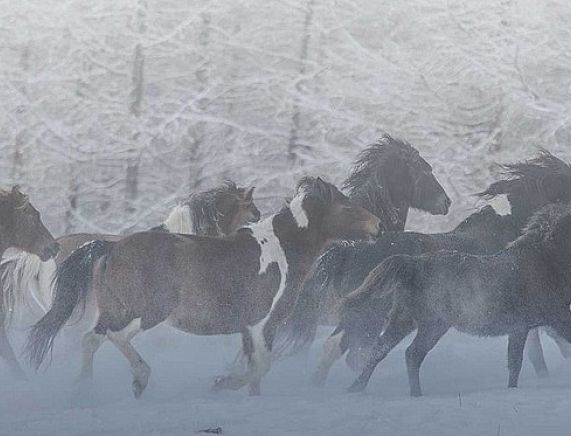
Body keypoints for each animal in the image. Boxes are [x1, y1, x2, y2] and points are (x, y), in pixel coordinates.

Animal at [346, 203, 571, 396]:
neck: (544, 261)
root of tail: (413, 264)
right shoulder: (555, 318)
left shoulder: (520, 328)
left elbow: (514, 363)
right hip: (432, 325)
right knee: (412, 354)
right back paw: (415, 394)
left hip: (403, 320)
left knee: (380, 350)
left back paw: (356, 388)